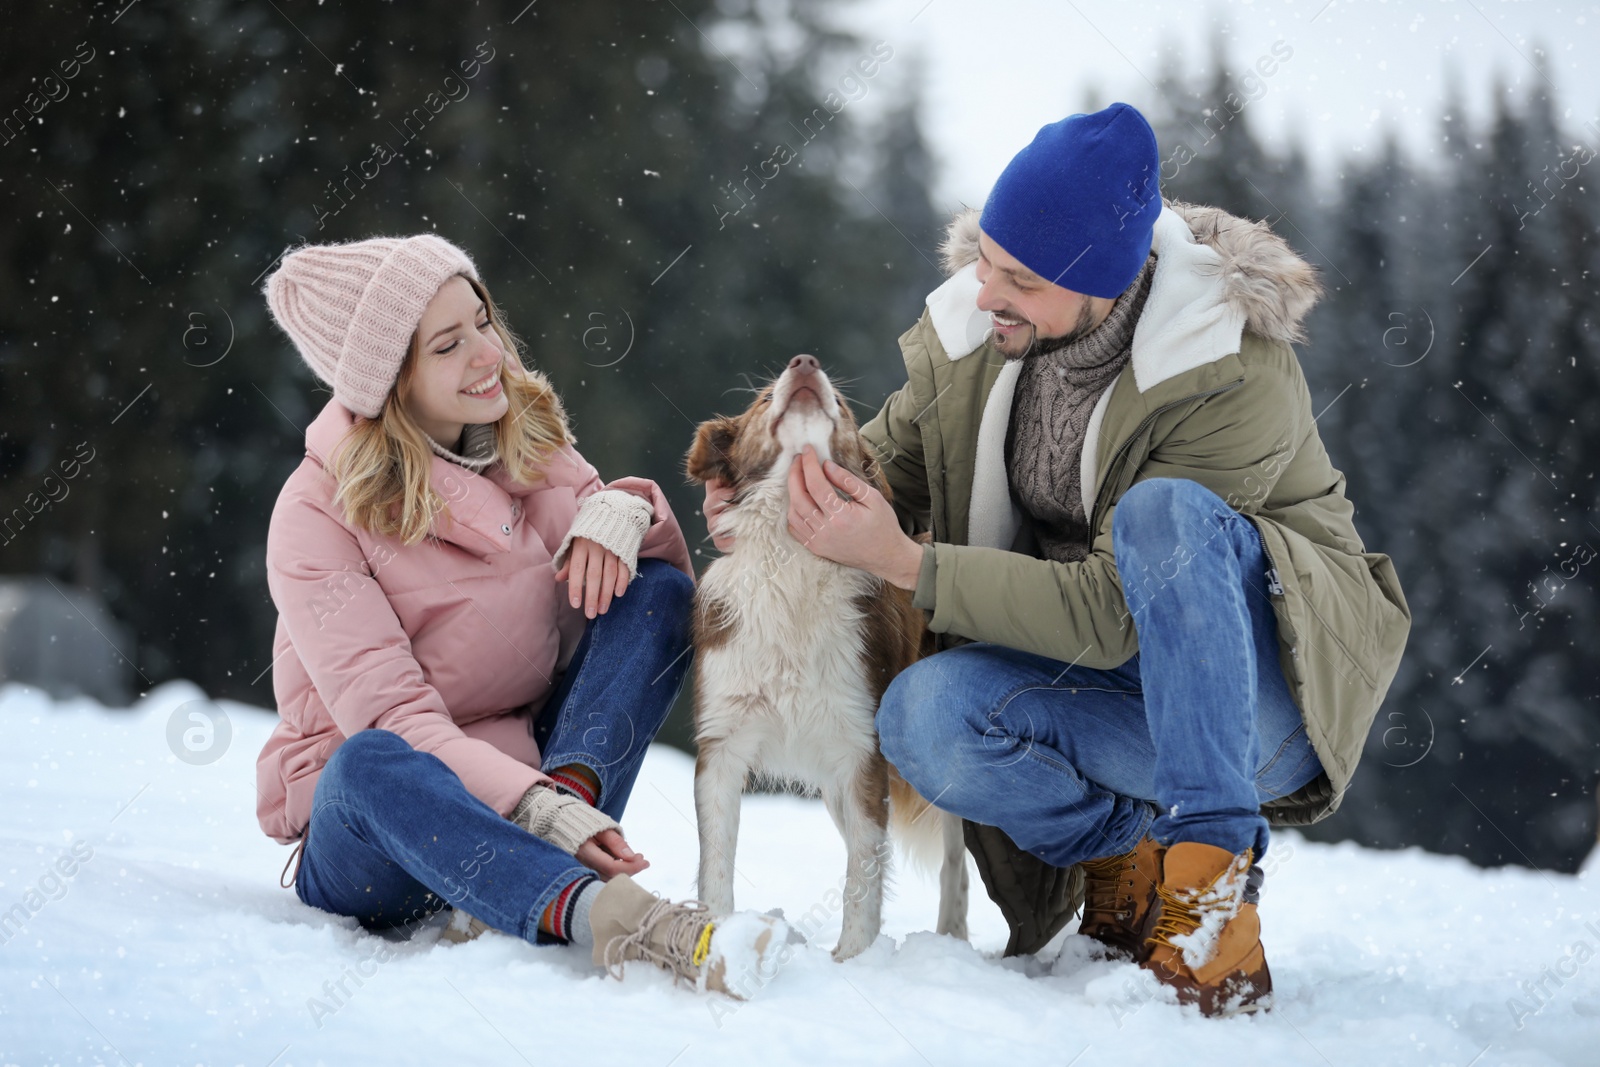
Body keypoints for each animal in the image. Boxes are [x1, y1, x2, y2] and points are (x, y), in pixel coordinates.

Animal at [681, 355, 966, 966]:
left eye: (845, 409)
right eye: (764, 398)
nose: (805, 363)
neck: (792, 555)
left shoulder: (860, 750)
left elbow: (862, 877)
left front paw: (854, 960)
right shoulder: (723, 745)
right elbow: (715, 864)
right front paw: (711, 942)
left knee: (956, 861)